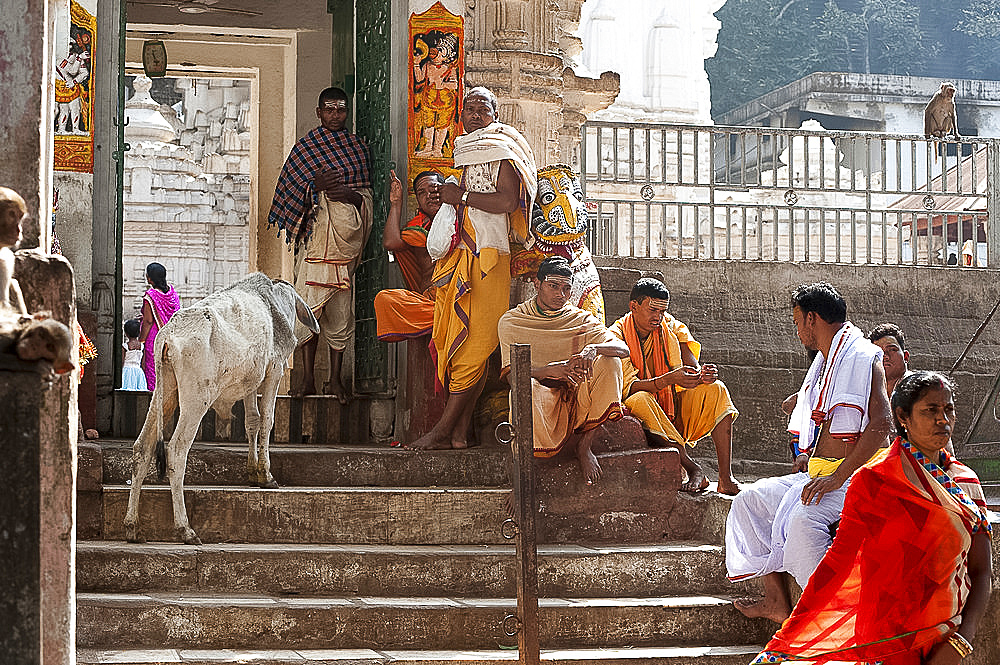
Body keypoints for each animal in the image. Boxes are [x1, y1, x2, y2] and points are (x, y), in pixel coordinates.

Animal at [122, 272, 316, 544]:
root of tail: (169, 333)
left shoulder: (249, 383)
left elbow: (252, 422)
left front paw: (253, 472)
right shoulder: (274, 371)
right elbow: (267, 421)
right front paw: (266, 475)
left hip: (164, 393)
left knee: (142, 448)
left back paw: (132, 526)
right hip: (195, 400)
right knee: (176, 451)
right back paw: (185, 529)